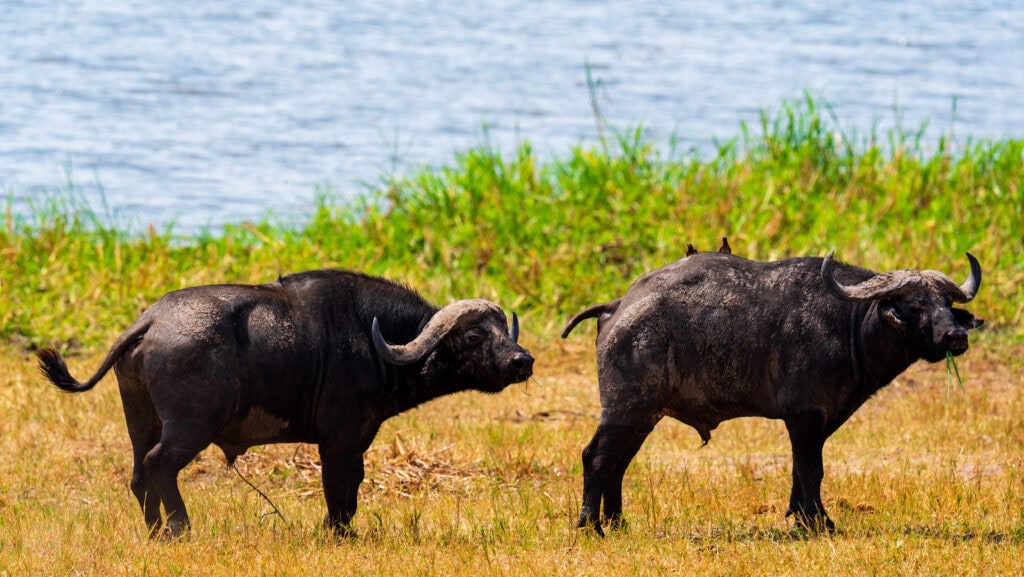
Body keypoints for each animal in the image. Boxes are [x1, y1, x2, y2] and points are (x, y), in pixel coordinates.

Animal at [38, 269, 534, 538]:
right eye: (474, 334)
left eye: (501, 329)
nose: (522, 361)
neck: (374, 339)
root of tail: (151, 320)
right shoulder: (339, 442)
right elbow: (338, 492)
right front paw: (337, 535)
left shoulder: (355, 442)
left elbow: (351, 492)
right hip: (188, 427)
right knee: (160, 466)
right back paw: (181, 531)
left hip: (139, 421)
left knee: (139, 475)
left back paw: (156, 534)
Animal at [562, 251, 983, 534]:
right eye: (915, 304)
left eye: (946, 303)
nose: (956, 336)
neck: (847, 323)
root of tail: (618, 305)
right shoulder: (804, 414)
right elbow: (812, 468)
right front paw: (820, 523)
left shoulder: (823, 419)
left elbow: (801, 468)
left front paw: (801, 516)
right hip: (624, 409)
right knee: (596, 456)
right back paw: (590, 526)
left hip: (643, 416)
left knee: (619, 463)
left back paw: (618, 523)